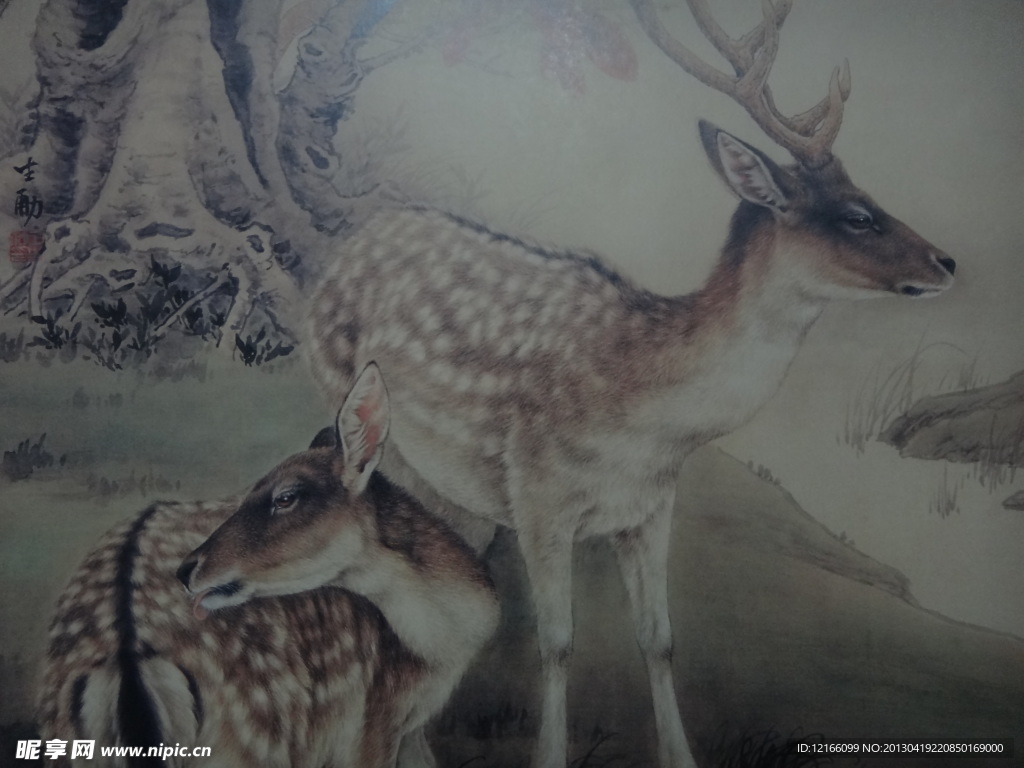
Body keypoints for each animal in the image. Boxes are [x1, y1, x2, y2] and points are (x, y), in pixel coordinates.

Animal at [38, 363, 499, 768]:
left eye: (286, 496)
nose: (187, 570)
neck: (446, 646)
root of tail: (128, 655)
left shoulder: (406, 728)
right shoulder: (373, 721)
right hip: (253, 735)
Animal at [305, 2, 955, 767]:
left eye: (869, 196)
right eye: (856, 215)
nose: (946, 262)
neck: (649, 416)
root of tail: (354, 239)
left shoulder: (650, 506)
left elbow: (660, 640)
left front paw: (681, 755)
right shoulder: (541, 496)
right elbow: (556, 644)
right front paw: (550, 756)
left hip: (454, 489)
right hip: (355, 407)